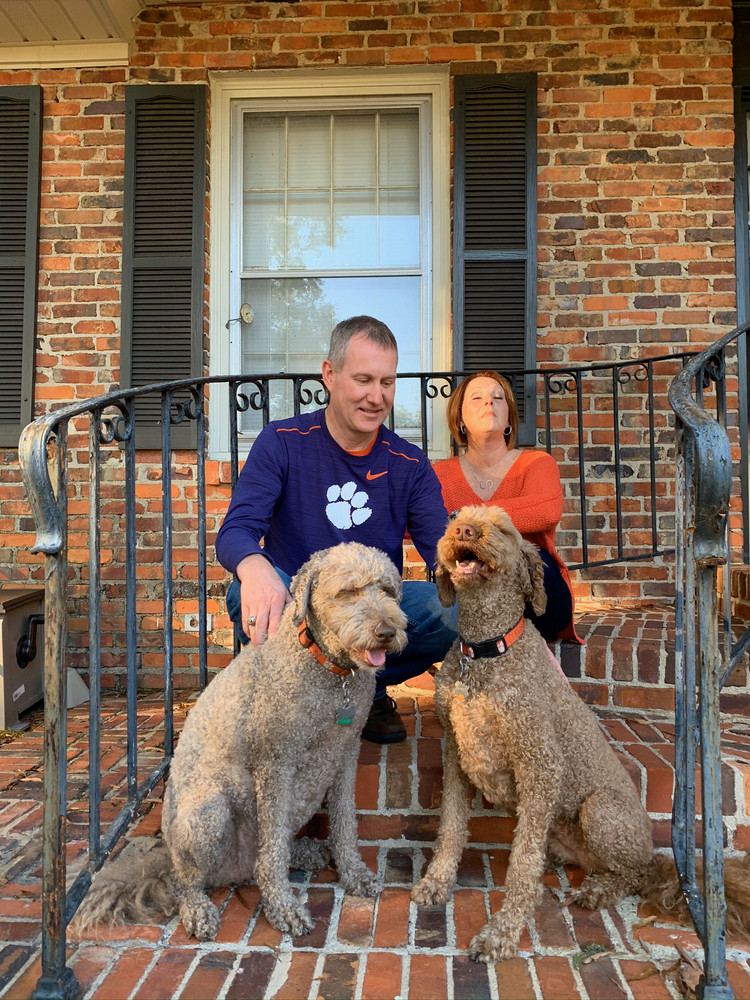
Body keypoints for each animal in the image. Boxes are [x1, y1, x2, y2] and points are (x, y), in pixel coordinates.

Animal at [73, 542, 407, 941]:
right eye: (348, 592)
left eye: (387, 591)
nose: (387, 631)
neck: (324, 666)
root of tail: (167, 855)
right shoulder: (275, 763)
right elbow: (273, 853)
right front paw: (282, 906)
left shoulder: (343, 755)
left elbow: (344, 825)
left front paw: (353, 874)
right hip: (208, 813)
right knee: (195, 877)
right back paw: (198, 909)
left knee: (266, 853)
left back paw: (306, 852)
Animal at [411, 505, 750, 963]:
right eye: (455, 517)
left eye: (502, 529)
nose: (464, 530)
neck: (484, 653)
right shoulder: (456, 754)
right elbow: (450, 828)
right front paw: (437, 882)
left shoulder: (540, 764)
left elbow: (522, 866)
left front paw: (502, 933)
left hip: (602, 811)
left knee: (633, 872)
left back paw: (598, 891)